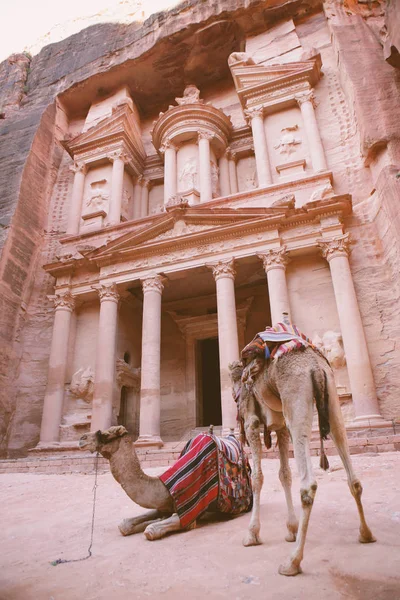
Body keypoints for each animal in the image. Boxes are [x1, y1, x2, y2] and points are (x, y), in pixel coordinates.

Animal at [79, 426, 252, 540]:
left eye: (105, 434)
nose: (81, 439)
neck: (164, 485)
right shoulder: (164, 504)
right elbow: (125, 525)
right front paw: (154, 520)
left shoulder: (193, 507)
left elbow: (150, 530)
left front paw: (155, 524)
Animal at [230, 342, 376, 576]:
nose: (235, 396)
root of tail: (315, 367)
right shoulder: (280, 427)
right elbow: (284, 474)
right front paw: (291, 529)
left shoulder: (252, 423)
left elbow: (258, 478)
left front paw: (252, 534)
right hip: (331, 398)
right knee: (352, 475)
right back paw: (366, 534)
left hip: (296, 396)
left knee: (308, 485)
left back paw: (292, 562)